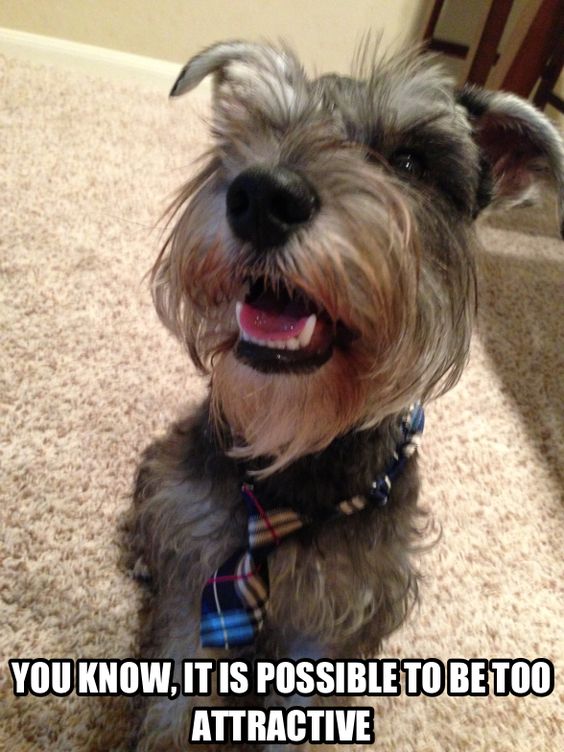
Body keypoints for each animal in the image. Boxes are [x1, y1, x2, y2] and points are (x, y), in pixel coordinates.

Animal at [129, 42, 564, 752]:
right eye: (258, 129)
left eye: (410, 162)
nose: (262, 195)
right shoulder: (202, 567)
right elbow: (178, 683)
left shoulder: (334, 609)